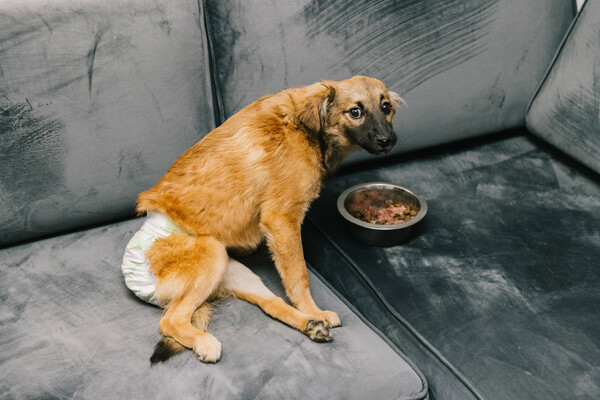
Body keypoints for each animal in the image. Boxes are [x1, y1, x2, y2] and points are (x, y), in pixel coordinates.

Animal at [131, 75, 404, 362]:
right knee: (170, 320)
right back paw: (205, 342)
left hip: (238, 273)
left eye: (386, 107)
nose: (388, 140)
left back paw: (310, 324)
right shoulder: (281, 220)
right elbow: (299, 276)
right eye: (355, 112)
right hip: (212, 254)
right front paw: (313, 309)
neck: (306, 126)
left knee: (271, 304)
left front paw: (313, 315)